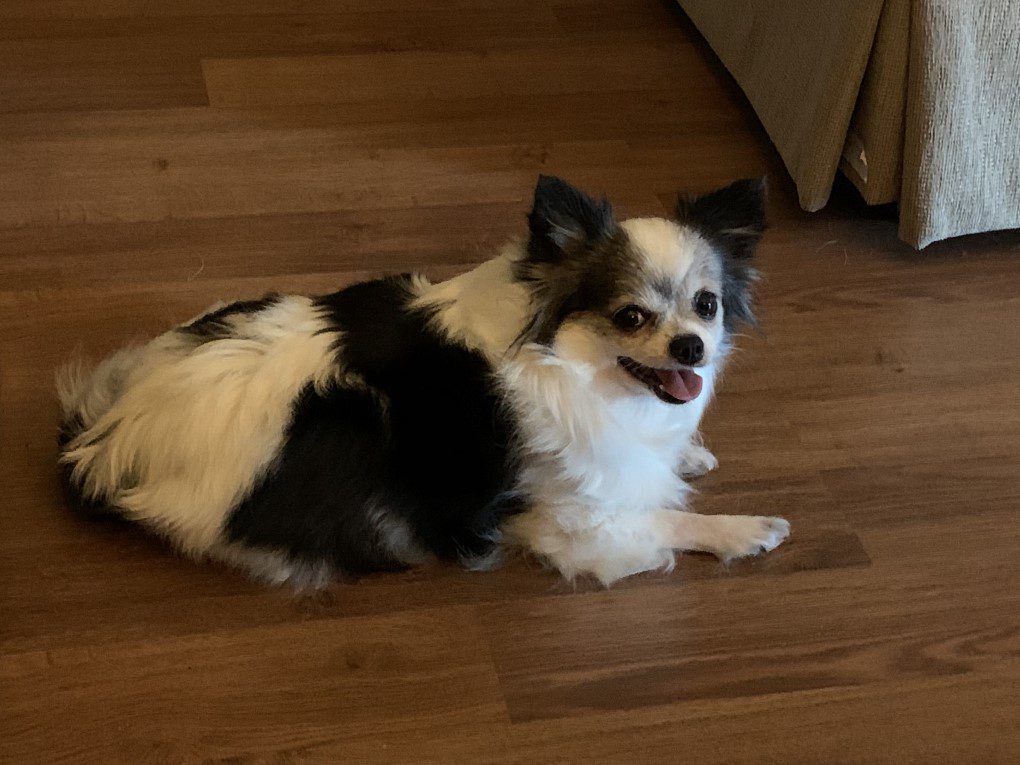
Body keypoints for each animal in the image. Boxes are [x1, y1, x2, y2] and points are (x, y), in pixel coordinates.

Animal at [55, 176, 787, 591]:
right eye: (630, 316)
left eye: (707, 305)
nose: (691, 347)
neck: (566, 361)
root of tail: (106, 435)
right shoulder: (572, 524)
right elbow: (666, 517)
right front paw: (745, 529)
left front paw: (688, 453)